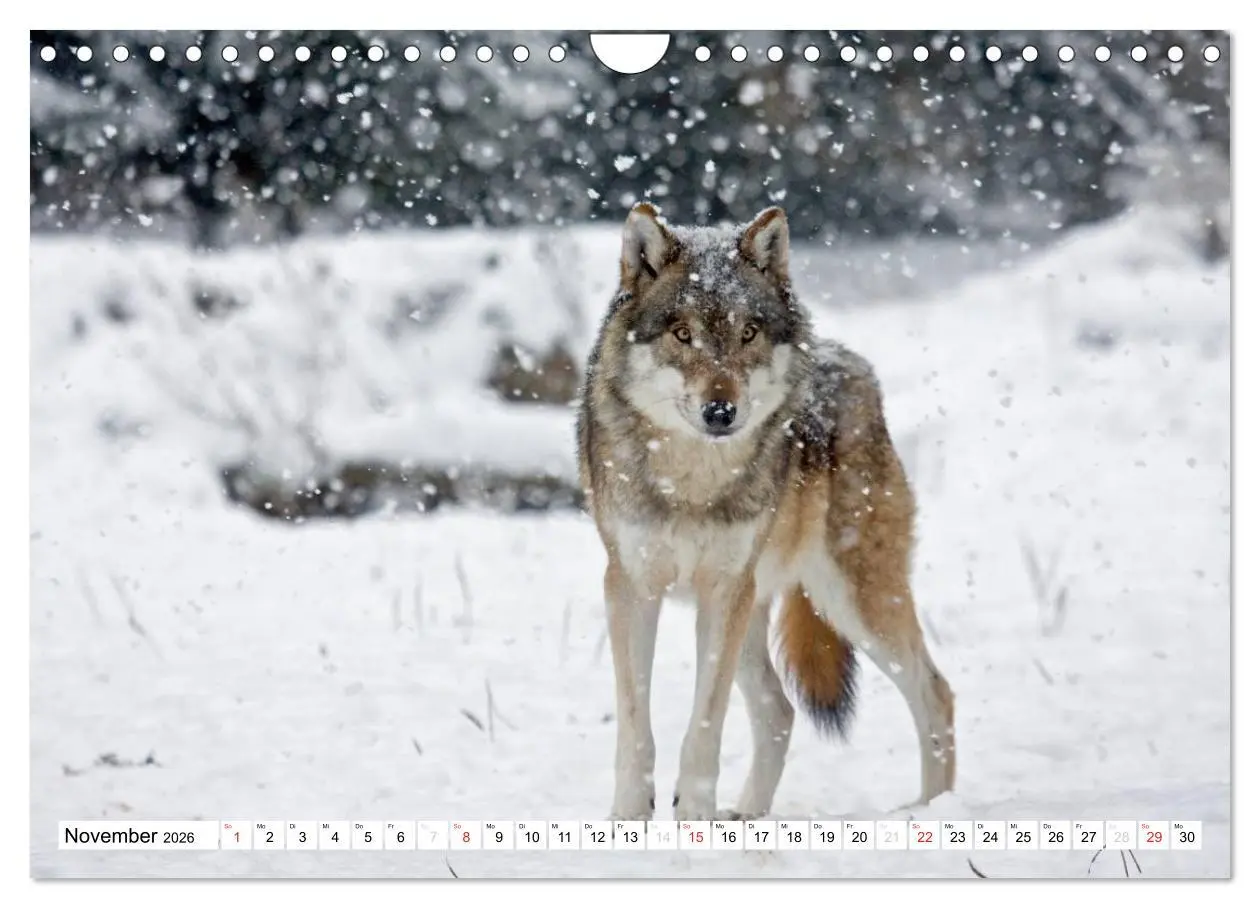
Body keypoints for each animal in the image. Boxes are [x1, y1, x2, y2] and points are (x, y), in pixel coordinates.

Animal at [576, 203, 956, 821]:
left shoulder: (722, 593)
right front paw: (629, 819)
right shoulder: (630, 586)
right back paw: (748, 815)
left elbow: (704, 727)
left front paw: (695, 818)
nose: (721, 411)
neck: (692, 484)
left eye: (748, 332)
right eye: (683, 334)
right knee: (780, 709)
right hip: (765, 607)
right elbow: (636, 728)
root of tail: (852, 363)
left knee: (935, 692)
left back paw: (934, 811)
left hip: (851, 598)